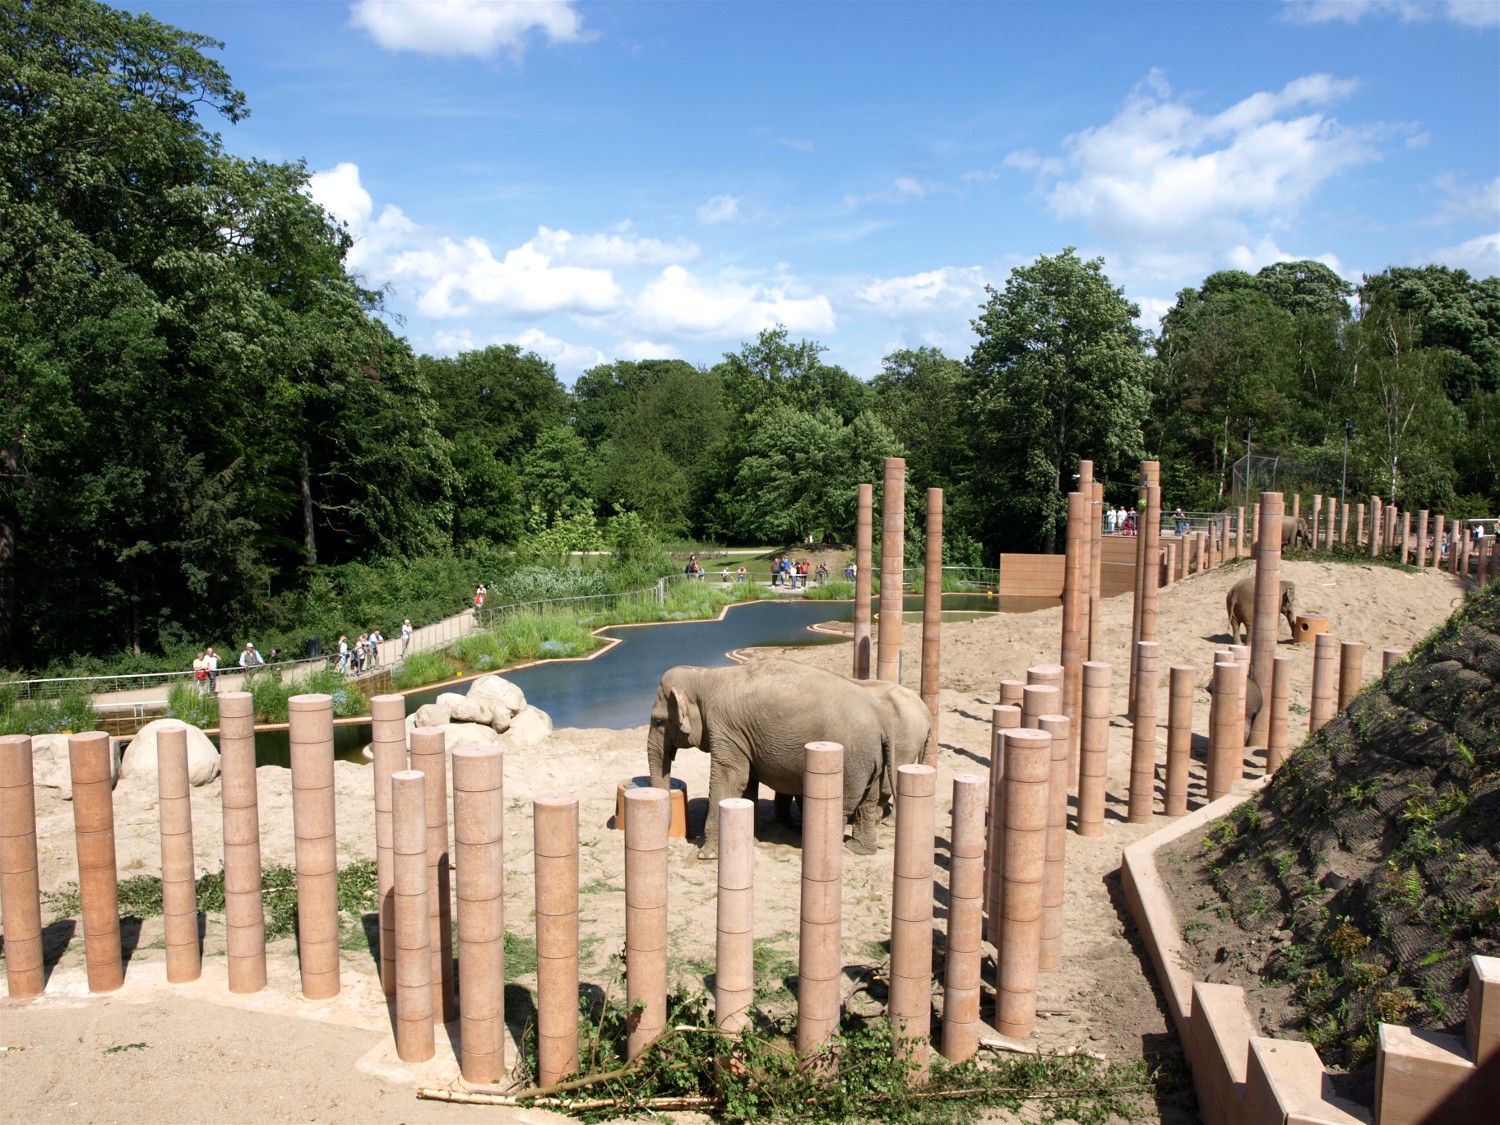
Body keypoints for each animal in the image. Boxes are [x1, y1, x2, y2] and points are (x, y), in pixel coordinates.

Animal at [648, 666, 924, 858]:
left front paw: (707, 855)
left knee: (843, 806)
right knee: (868, 801)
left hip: (851, 760)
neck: (704, 676)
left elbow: (731, 777)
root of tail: (882, 719)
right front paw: (752, 840)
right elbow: (747, 782)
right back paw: (859, 850)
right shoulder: (741, 736)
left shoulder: (725, 728)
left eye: (659, 721)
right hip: (870, 759)